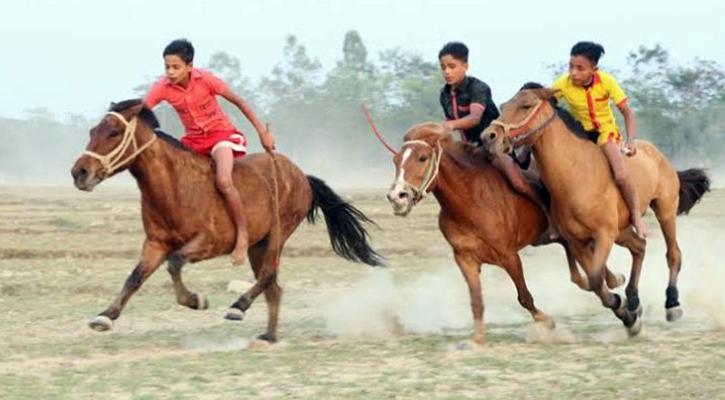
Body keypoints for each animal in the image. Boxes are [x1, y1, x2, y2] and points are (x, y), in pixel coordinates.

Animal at [70, 100, 382, 344]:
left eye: (114, 132)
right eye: (92, 131)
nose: (79, 173)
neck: (175, 185)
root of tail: (302, 176)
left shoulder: (210, 242)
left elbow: (175, 263)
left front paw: (196, 300)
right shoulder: (156, 243)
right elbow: (135, 277)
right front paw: (105, 316)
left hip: (278, 234)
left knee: (267, 277)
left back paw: (238, 306)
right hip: (259, 244)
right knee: (273, 286)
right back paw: (269, 336)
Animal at [384, 122, 628, 344]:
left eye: (422, 157)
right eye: (395, 160)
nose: (397, 197)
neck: (470, 199)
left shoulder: (509, 256)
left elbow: (524, 297)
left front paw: (547, 321)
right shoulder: (465, 259)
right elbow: (476, 302)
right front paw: (477, 340)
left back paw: (612, 281)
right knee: (578, 266)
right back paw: (607, 282)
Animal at [480, 89, 708, 336]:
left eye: (526, 105)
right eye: (503, 105)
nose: (488, 137)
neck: (576, 175)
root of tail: (657, 153)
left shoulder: (603, 235)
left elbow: (597, 280)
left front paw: (627, 313)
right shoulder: (576, 241)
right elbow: (593, 282)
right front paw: (627, 312)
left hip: (664, 210)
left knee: (673, 254)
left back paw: (672, 303)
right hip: (622, 230)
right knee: (640, 247)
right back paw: (634, 299)